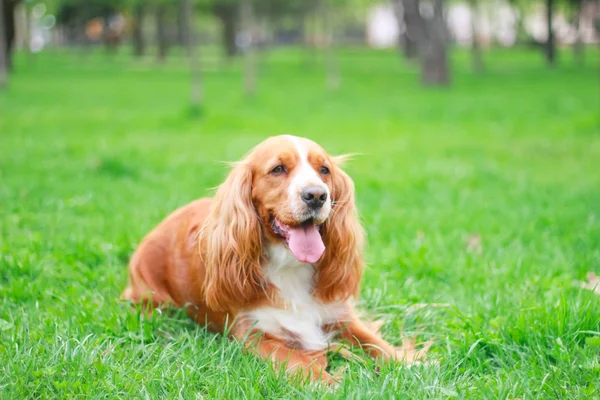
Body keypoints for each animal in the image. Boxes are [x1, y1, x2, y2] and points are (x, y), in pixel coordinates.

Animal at [121, 135, 404, 384]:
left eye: (324, 170)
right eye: (278, 169)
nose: (317, 195)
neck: (290, 266)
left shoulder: (340, 314)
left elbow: (379, 344)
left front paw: (408, 362)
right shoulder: (252, 334)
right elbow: (298, 361)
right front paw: (330, 382)